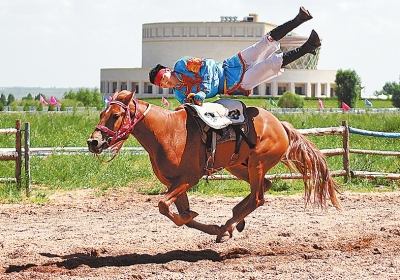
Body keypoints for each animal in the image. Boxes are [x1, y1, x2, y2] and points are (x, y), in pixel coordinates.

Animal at [87, 90, 340, 243]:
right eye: (101, 113)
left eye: (115, 115)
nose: (93, 142)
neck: (167, 131)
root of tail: (281, 124)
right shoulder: (175, 184)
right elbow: (178, 213)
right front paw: (209, 225)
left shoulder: (189, 178)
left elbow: (165, 206)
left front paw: (207, 224)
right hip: (238, 166)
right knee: (264, 187)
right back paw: (234, 220)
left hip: (257, 164)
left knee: (258, 197)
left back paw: (231, 223)